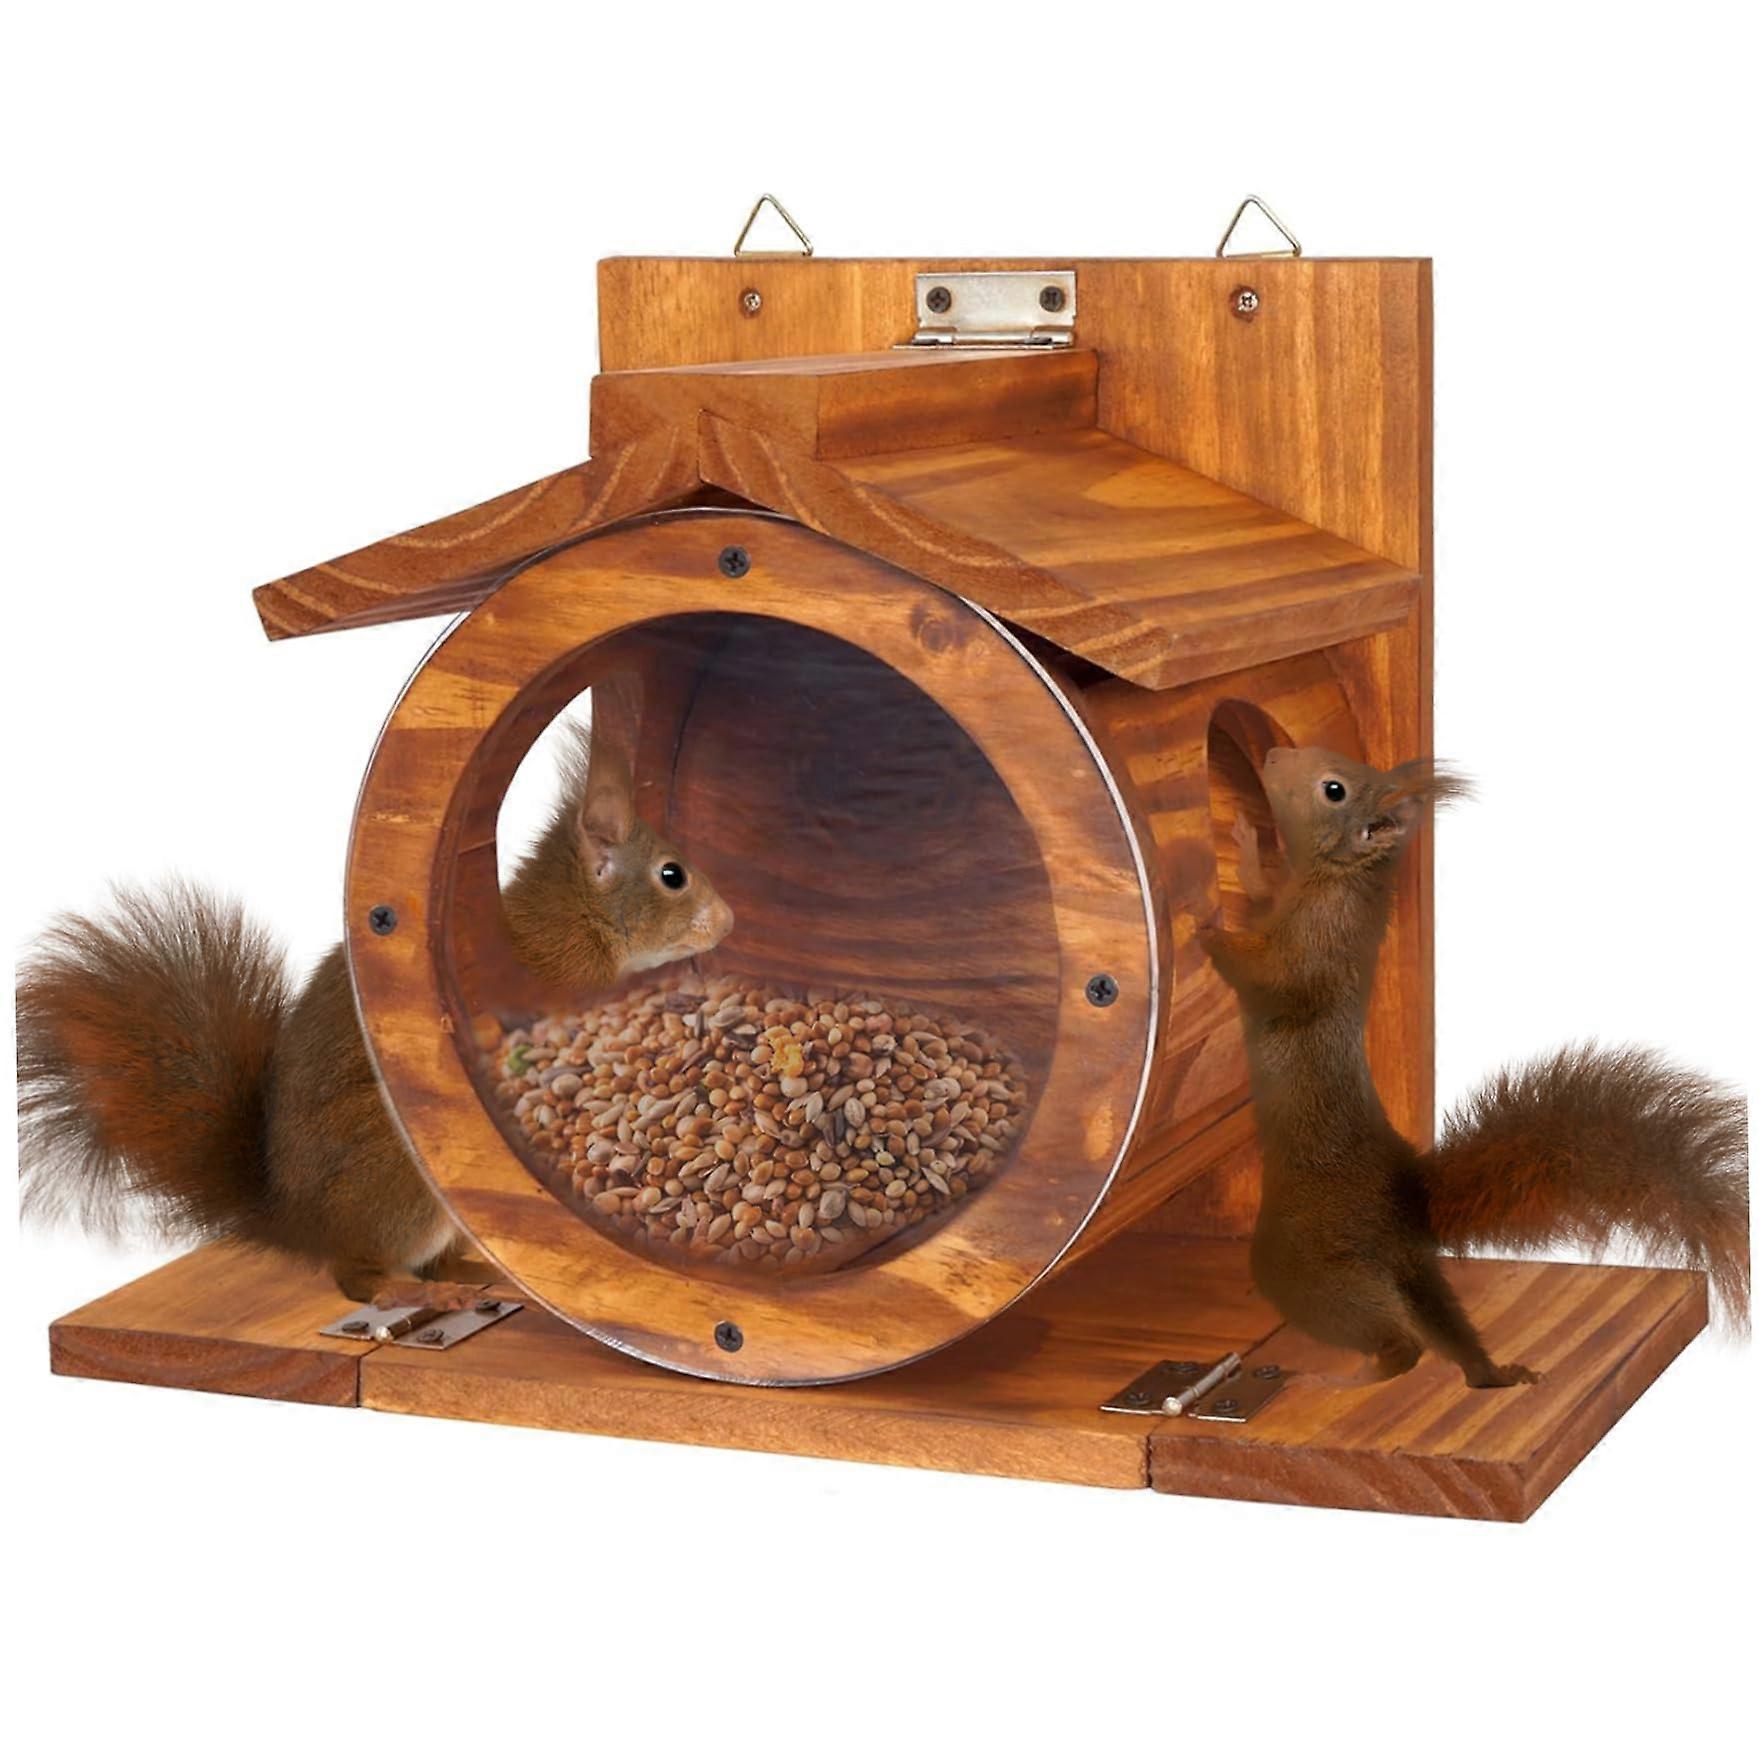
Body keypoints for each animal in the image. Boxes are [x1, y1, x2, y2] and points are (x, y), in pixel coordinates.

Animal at [17, 722, 735, 1308]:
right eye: (672, 875)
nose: (729, 920)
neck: (581, 922)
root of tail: (298, 1220)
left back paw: (477, 1274)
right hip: (404, 1162)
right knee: (357, 1277)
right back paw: (405, 1288)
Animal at [1199, 747, 1749, 1388]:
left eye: (1333, 788)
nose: (1272, 753)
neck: (1334, 879)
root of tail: (1407, 1202)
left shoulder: (1311, 954)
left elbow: (1267, 981)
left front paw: (1206, 934)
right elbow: (1261, 889)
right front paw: (1243, 845)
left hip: (1305, 1259)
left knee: (1397, 1338)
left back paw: (1355, 1375)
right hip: (1411, 1270)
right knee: (1444, 1327)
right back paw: (1491, 1374)